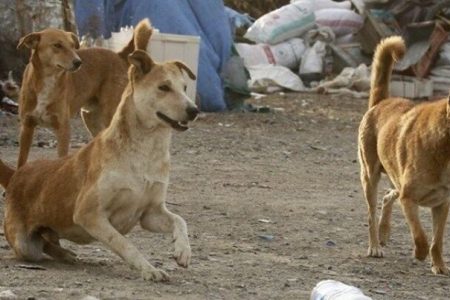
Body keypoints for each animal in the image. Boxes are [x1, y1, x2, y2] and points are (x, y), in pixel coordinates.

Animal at [0, 49, 199, 282]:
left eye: (184, 88)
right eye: (164, 87)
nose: (194, 110)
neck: (146, 152)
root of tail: (17, 175)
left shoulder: (150, 214)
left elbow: (179, 220)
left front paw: (183, 251)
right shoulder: (89, 214)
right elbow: (125, 244)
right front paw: (149, 269)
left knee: (48, 242)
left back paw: (65, 254)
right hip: (25, 245)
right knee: (39, 247)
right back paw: (64, 254)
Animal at [16, 19, 153, 166]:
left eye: (72, 46)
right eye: (57, 45)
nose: (78, 62)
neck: (48, 80)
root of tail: (118, 55)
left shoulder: (63, 129)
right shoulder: (26, 127)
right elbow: (21, 161)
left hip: (110, 114)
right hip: (90, 118)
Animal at [358, 35, 450, 274]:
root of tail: (381, 101)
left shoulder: (442, 205)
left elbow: (437, 241)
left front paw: (439, 266)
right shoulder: (409, 199)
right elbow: (422, 238)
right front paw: (419, 254)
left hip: (394, 178)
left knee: (388, 196)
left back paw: (384, 232)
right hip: (370, 177)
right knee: (371, 214)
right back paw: (375, 246)